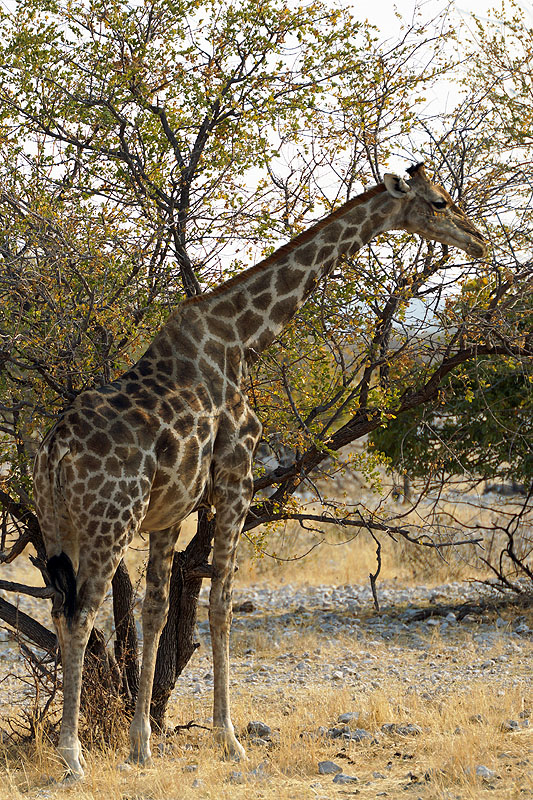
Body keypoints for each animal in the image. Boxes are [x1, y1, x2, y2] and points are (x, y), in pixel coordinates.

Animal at [31, 159, 484, 780]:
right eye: (439, 202)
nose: (480, 241)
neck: (243, 336)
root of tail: (54, 452)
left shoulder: (170, 509)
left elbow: (156, 611)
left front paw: (141, 746)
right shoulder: (236, 473)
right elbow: (221, 602)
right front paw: (229, 738)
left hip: (57, 527)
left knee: (59, 610)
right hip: (109, 523)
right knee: (80, 616)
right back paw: (71, 757)